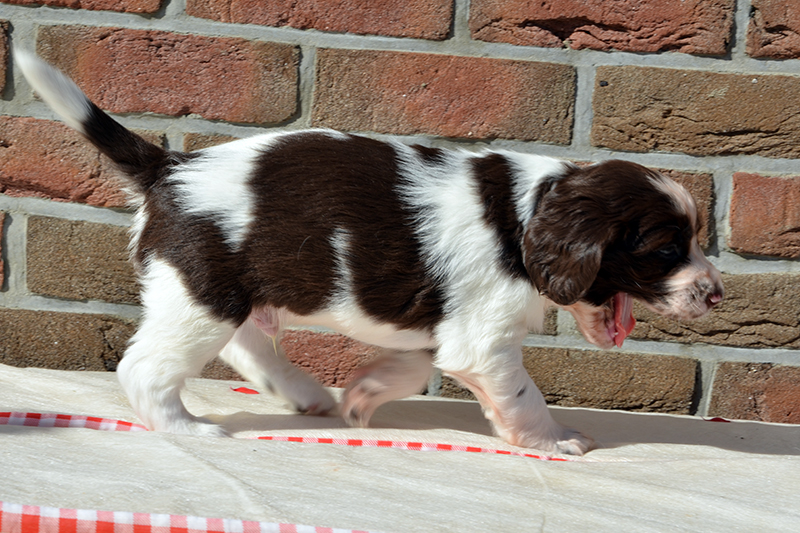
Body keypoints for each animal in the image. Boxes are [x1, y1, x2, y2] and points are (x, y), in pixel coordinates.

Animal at [15, 52, 720, 456]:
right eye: (666, 250)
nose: (716, 294)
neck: (524, 218)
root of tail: (171, 166)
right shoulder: (484, 344)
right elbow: (522, 396)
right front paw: (555, 440)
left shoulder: (440, 330)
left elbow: (411, 366)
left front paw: (363, 394)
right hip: (203, 295)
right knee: (147, 368)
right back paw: (188, 428)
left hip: (222, 293)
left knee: (246, 344)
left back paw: (305, 393)